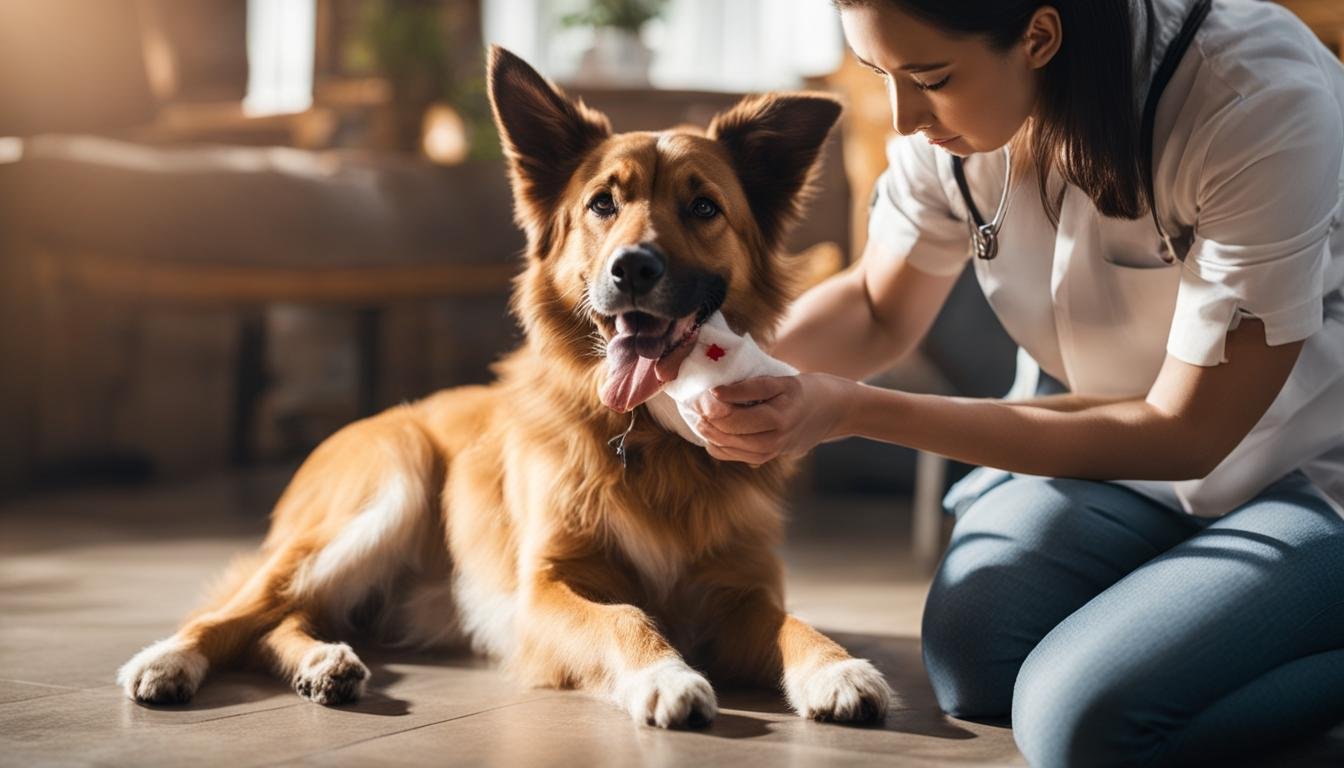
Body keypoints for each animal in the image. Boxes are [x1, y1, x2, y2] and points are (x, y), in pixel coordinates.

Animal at [118, 45, 892, 731]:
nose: (632, 269)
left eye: (703, 208)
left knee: (280, 624)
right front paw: (665, 674)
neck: (645, 436)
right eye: (602, 204)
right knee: (239, 613)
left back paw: (323, 662)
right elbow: (626, 617)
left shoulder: (740, 594)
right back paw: (169, 660)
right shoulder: (545, 590)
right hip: (383, 490)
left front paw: (836, 667)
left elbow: (794, 622)